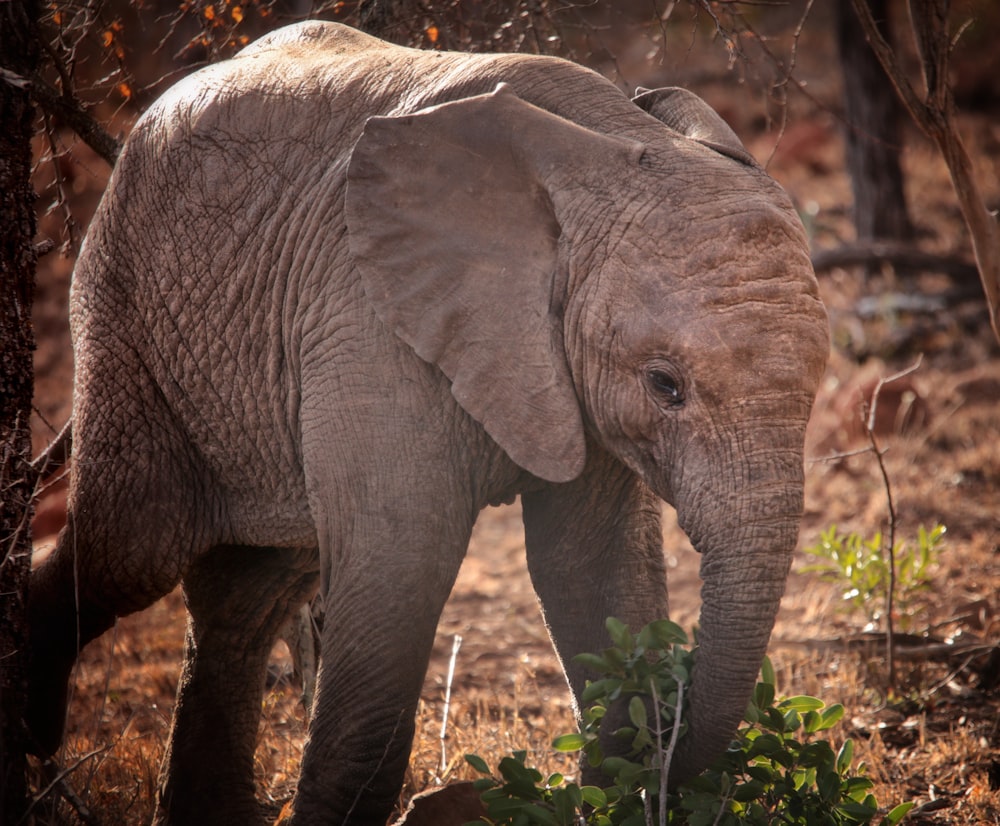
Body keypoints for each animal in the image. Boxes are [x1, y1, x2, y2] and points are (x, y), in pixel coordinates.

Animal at [27, 19, 832, 824]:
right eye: (665, 386)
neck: (606, 140)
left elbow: (586, 563)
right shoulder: (368, 318)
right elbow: (400, 566)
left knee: (246, 594)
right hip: (124, 309)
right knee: (132, 549)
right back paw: (35, 750)